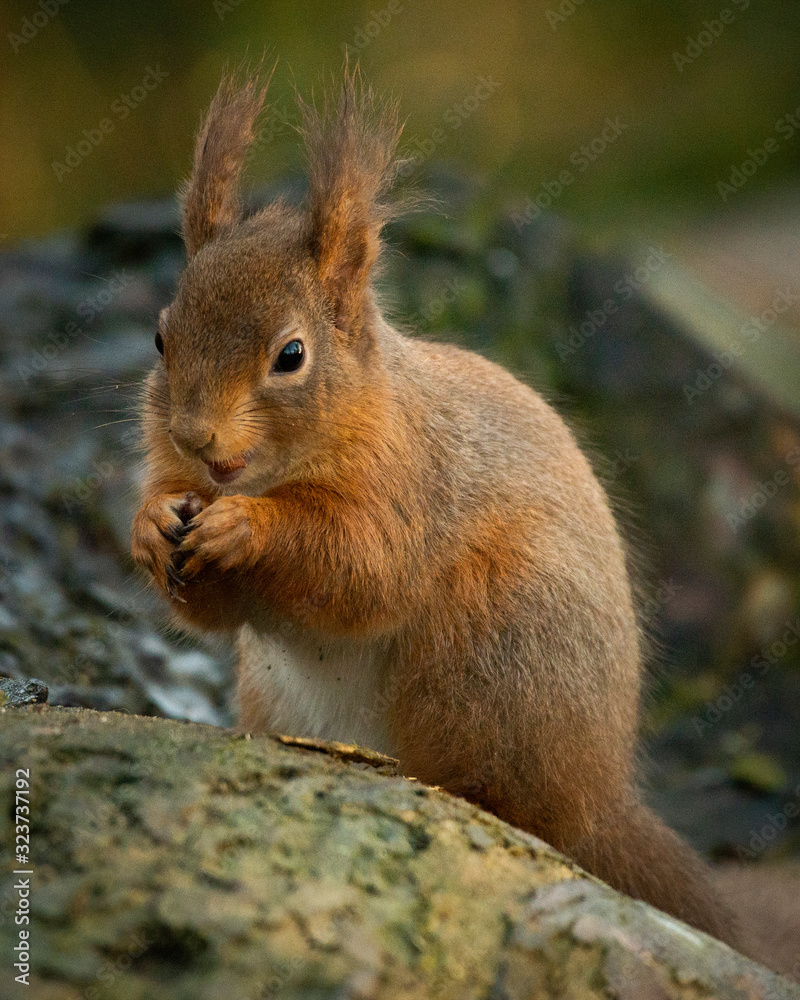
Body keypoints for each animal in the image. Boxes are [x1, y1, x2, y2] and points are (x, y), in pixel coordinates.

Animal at [131, 67, 739, 948]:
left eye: (291, 355)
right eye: (159, 338)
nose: (194, 435)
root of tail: (601, 797)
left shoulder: (410, 488)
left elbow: (362, 570)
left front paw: (247, 526)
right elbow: (207, 601)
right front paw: (151, 528)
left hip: (489, 653)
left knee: (518, 805)